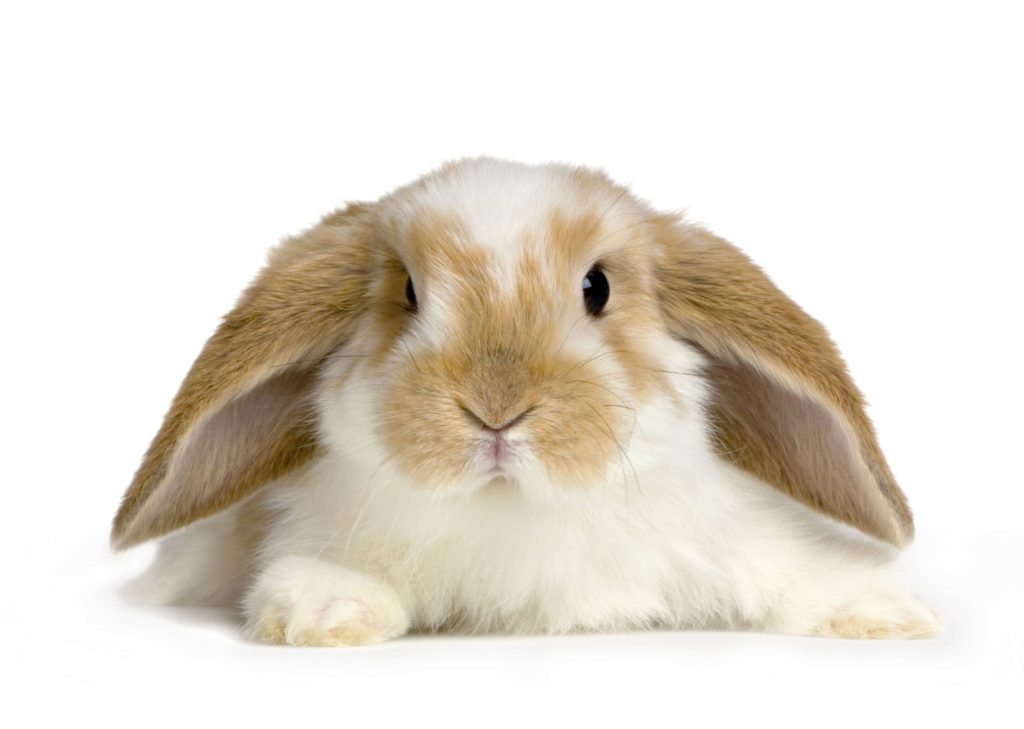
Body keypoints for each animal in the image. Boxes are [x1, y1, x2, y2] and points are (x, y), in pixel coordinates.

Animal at [113, 157, 941, 646]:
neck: (517, 507)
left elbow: (793, 574)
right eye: (408, 292)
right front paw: (325, 609)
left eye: (597, 287)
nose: (496, 409)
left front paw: (889, 611)